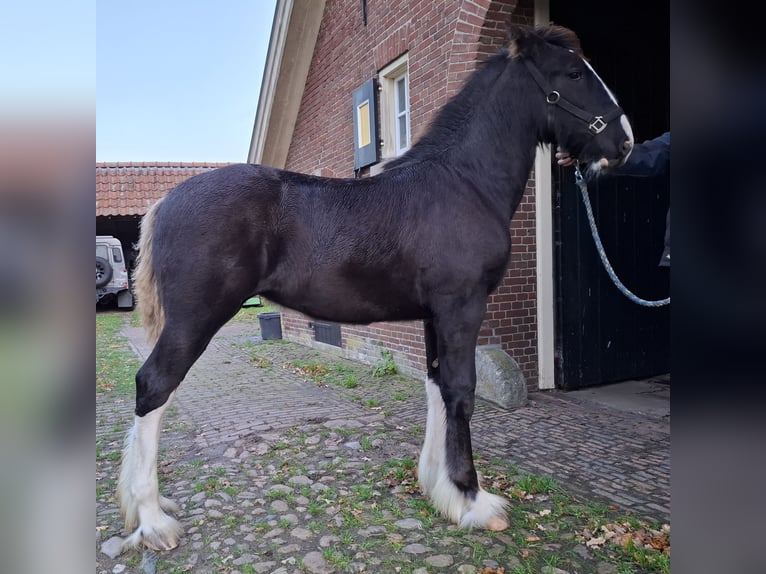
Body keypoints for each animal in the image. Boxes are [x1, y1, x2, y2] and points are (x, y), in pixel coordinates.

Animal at [116, 23, 634, 552]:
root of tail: (165, 202)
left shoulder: (435, 315)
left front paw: (439, 490)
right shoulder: (462, 307)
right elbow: (462, 393)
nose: (624, 142)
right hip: (195, 320)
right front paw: (473, 499)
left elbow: (436, 386)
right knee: (153, 387)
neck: (464, 183)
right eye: (573, 73)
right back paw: (152, 521)